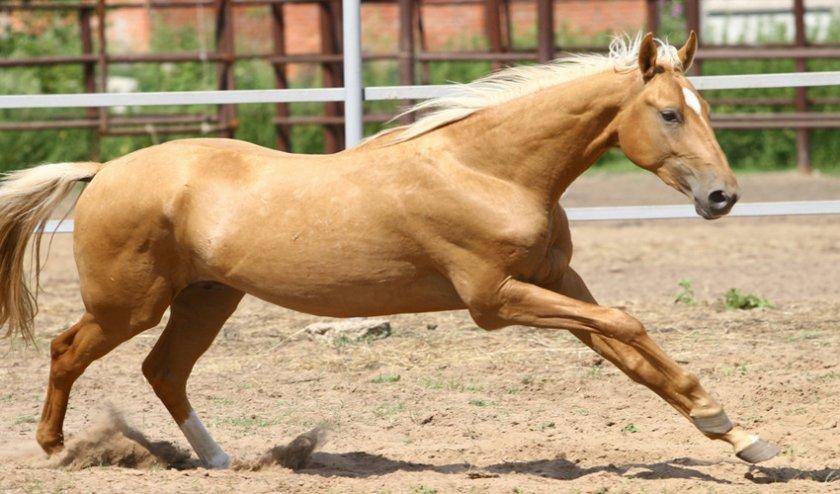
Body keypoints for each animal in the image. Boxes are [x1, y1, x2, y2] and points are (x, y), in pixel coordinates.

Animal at [0, 33, 776, 466]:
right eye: (669, 113)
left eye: (704, 109)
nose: (722, 197)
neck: (488, 169)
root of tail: (103, 170)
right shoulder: (495, 301)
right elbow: (628, 324)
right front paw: (726, 424)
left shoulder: (559, 284)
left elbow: (629, 352)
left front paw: (738, 435)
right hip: (129, 304)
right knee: (68, 350)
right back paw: (56, 450)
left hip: (207, 299)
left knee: (164, 370)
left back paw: (221, 460)